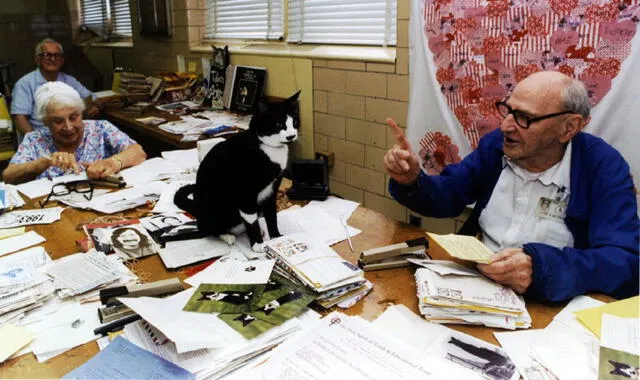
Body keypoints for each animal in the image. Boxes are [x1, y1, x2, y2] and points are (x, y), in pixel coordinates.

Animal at [174, 90, 302, 252]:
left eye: (295, 122)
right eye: (279, 124)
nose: (291, 135)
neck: (269, 150)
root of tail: (196, 209)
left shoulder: (271, 190)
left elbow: (272, 215)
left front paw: (276, 237)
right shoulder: (245, 194)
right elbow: (251, 221)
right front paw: (257, 244)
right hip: (215, 209)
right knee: (208, 229)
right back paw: (227, 236)